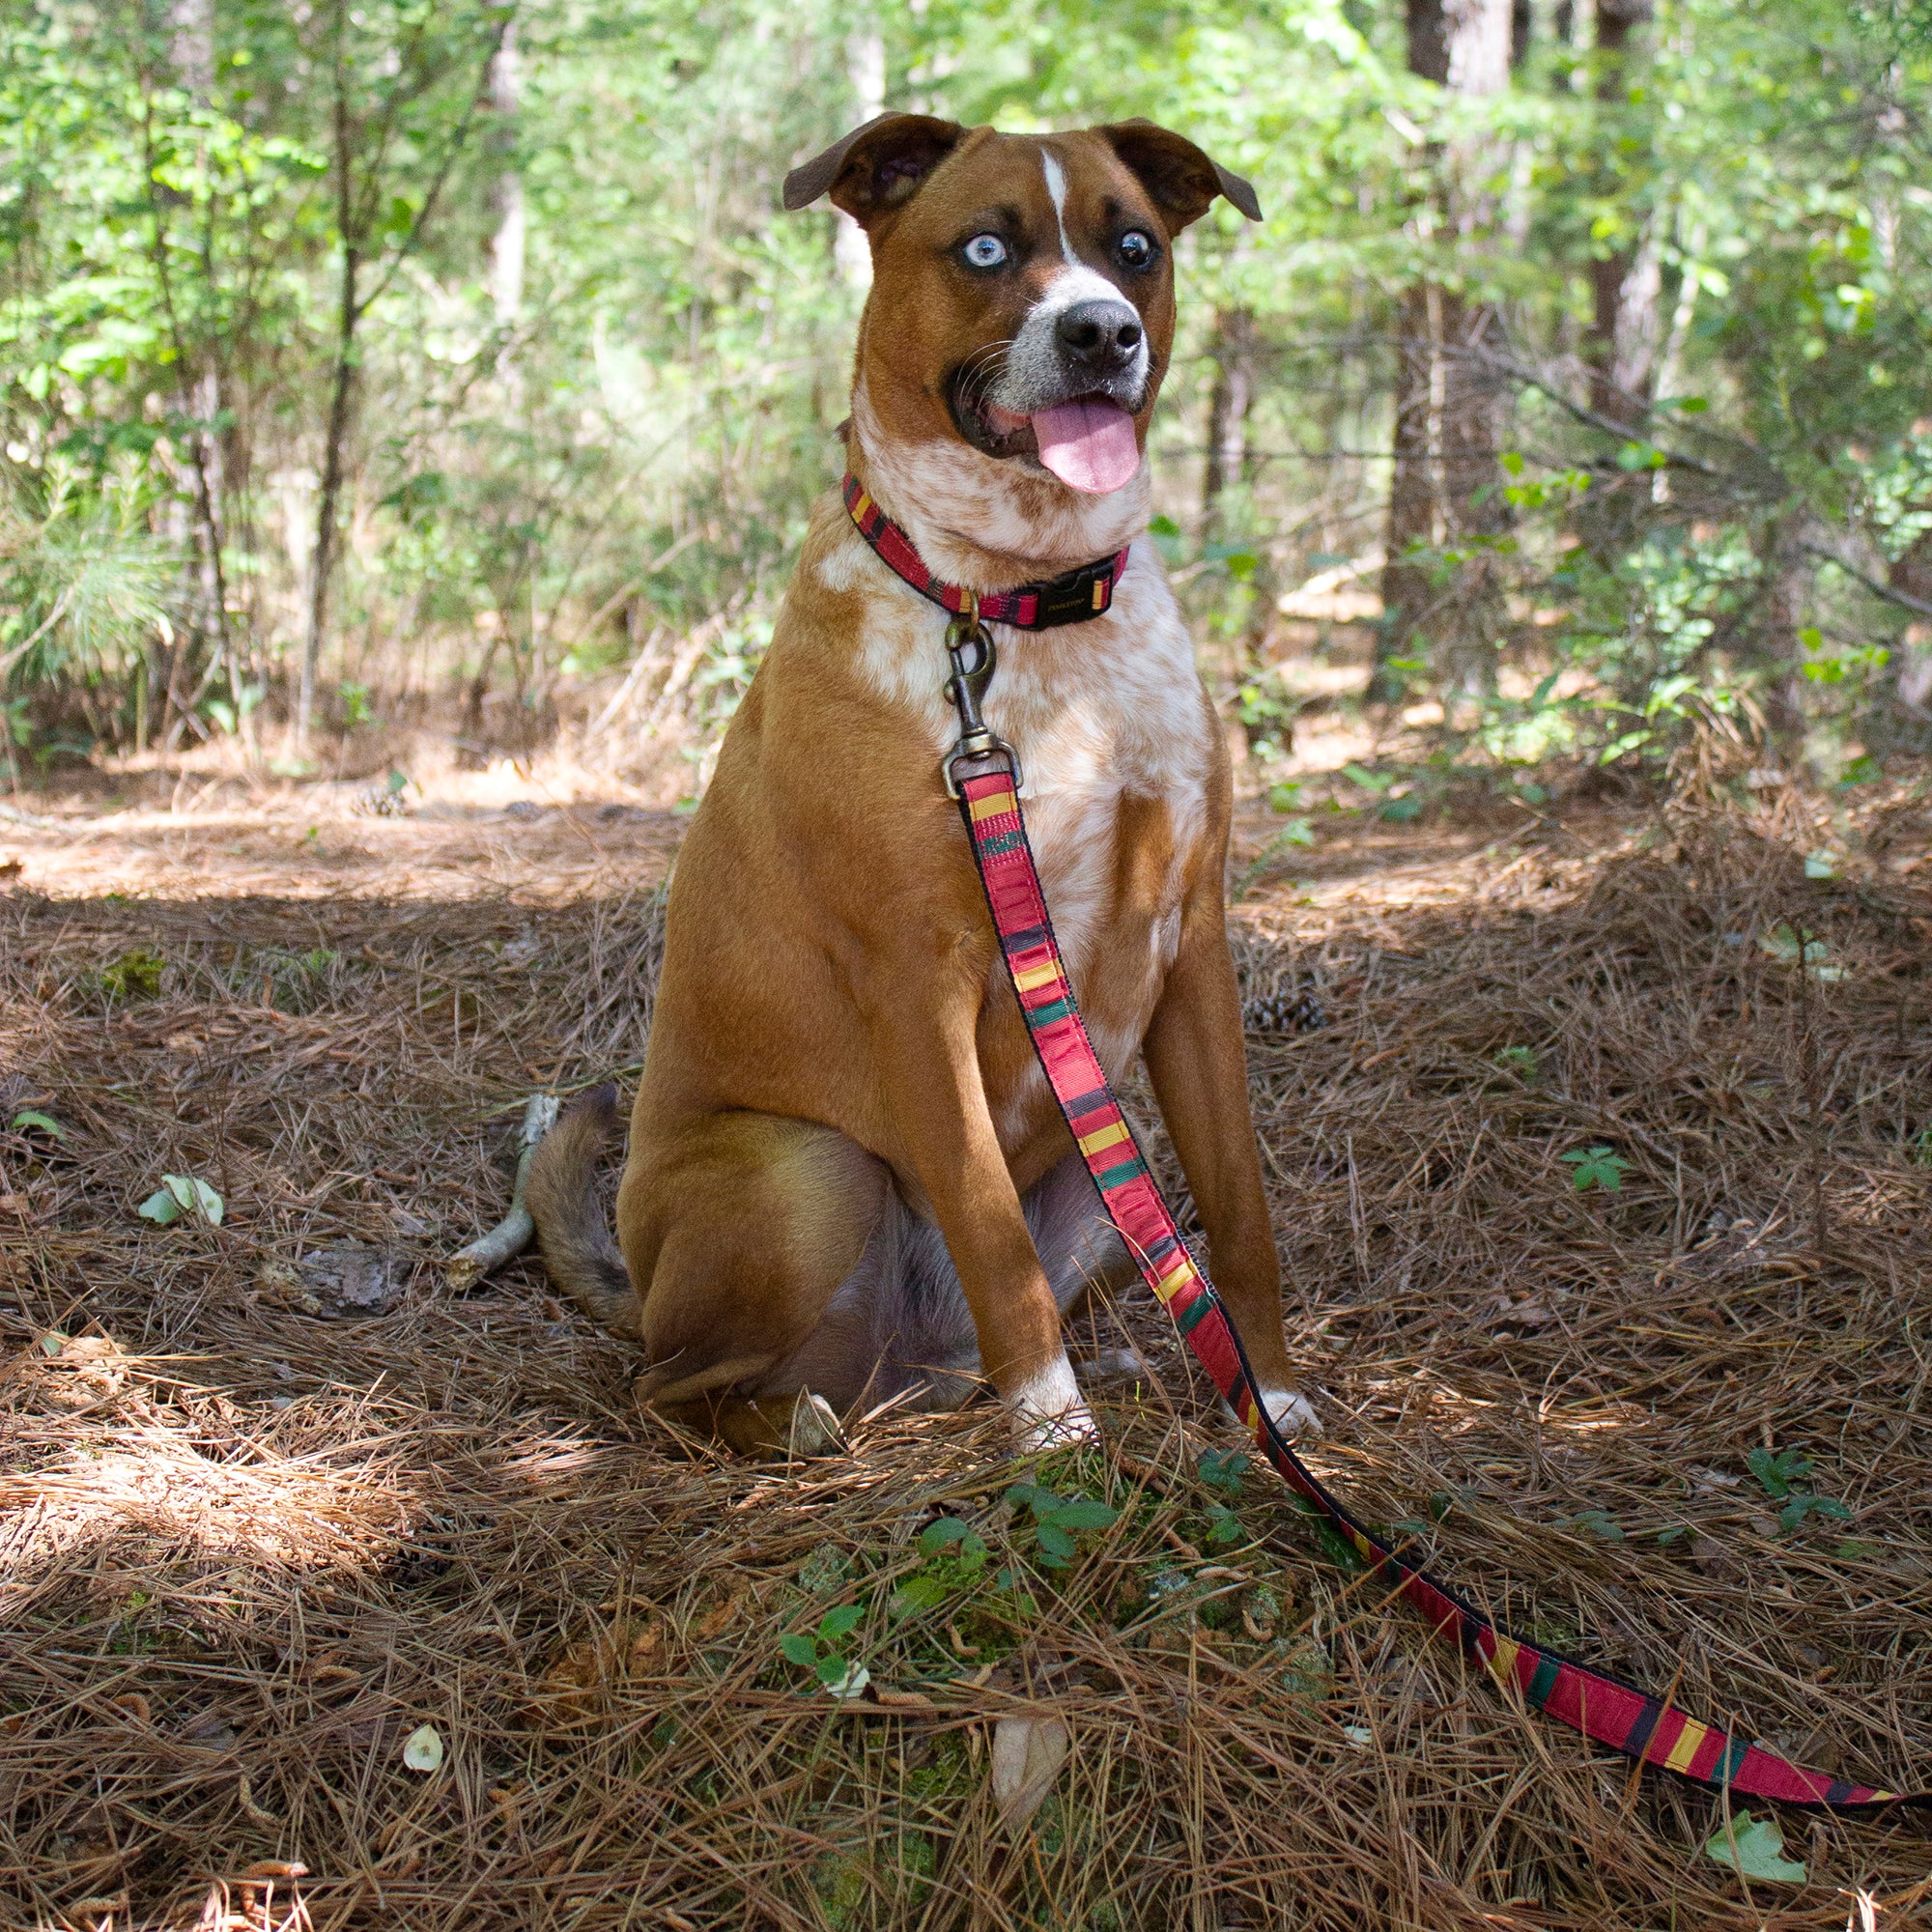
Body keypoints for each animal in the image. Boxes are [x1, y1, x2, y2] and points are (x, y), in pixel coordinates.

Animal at [522, 113, 1321, 1453]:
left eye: (1135, 248)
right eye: (985, 247)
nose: (1101, 331)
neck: (1017, 603)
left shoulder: (1191, 947)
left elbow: (1245, 1211)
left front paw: (1269, 1399)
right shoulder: (918, 981)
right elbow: (990, 1230)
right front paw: (1053, 1433)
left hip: (1107, 1187)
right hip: (809, 1174)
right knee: (669, 1385)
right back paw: (812, 1423)